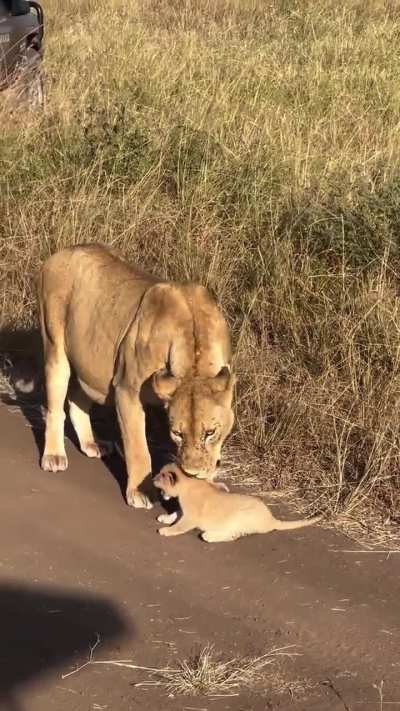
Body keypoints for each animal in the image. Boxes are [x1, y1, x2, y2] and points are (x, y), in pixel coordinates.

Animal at [38, 244, 235, 509]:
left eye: (210, 433)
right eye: (177, 434)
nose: (192, 472)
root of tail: (61, 252)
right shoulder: (126, 390)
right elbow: (138, 448)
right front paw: (141, 492)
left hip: (92, 364)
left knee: (77, 398)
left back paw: (92, 444)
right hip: (55, 347)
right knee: (55, 407)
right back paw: (54, 455)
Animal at [154, 464, 321, 542]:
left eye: (160, 476)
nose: (153, 478)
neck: (187, 485)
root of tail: (271, 519)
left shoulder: (192, 517)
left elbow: (179, 526)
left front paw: (166, 530)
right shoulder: (186, 511)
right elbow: (177, 512)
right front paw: (165, 518)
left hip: (241, 516)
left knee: (234, 535)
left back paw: (209, 535)